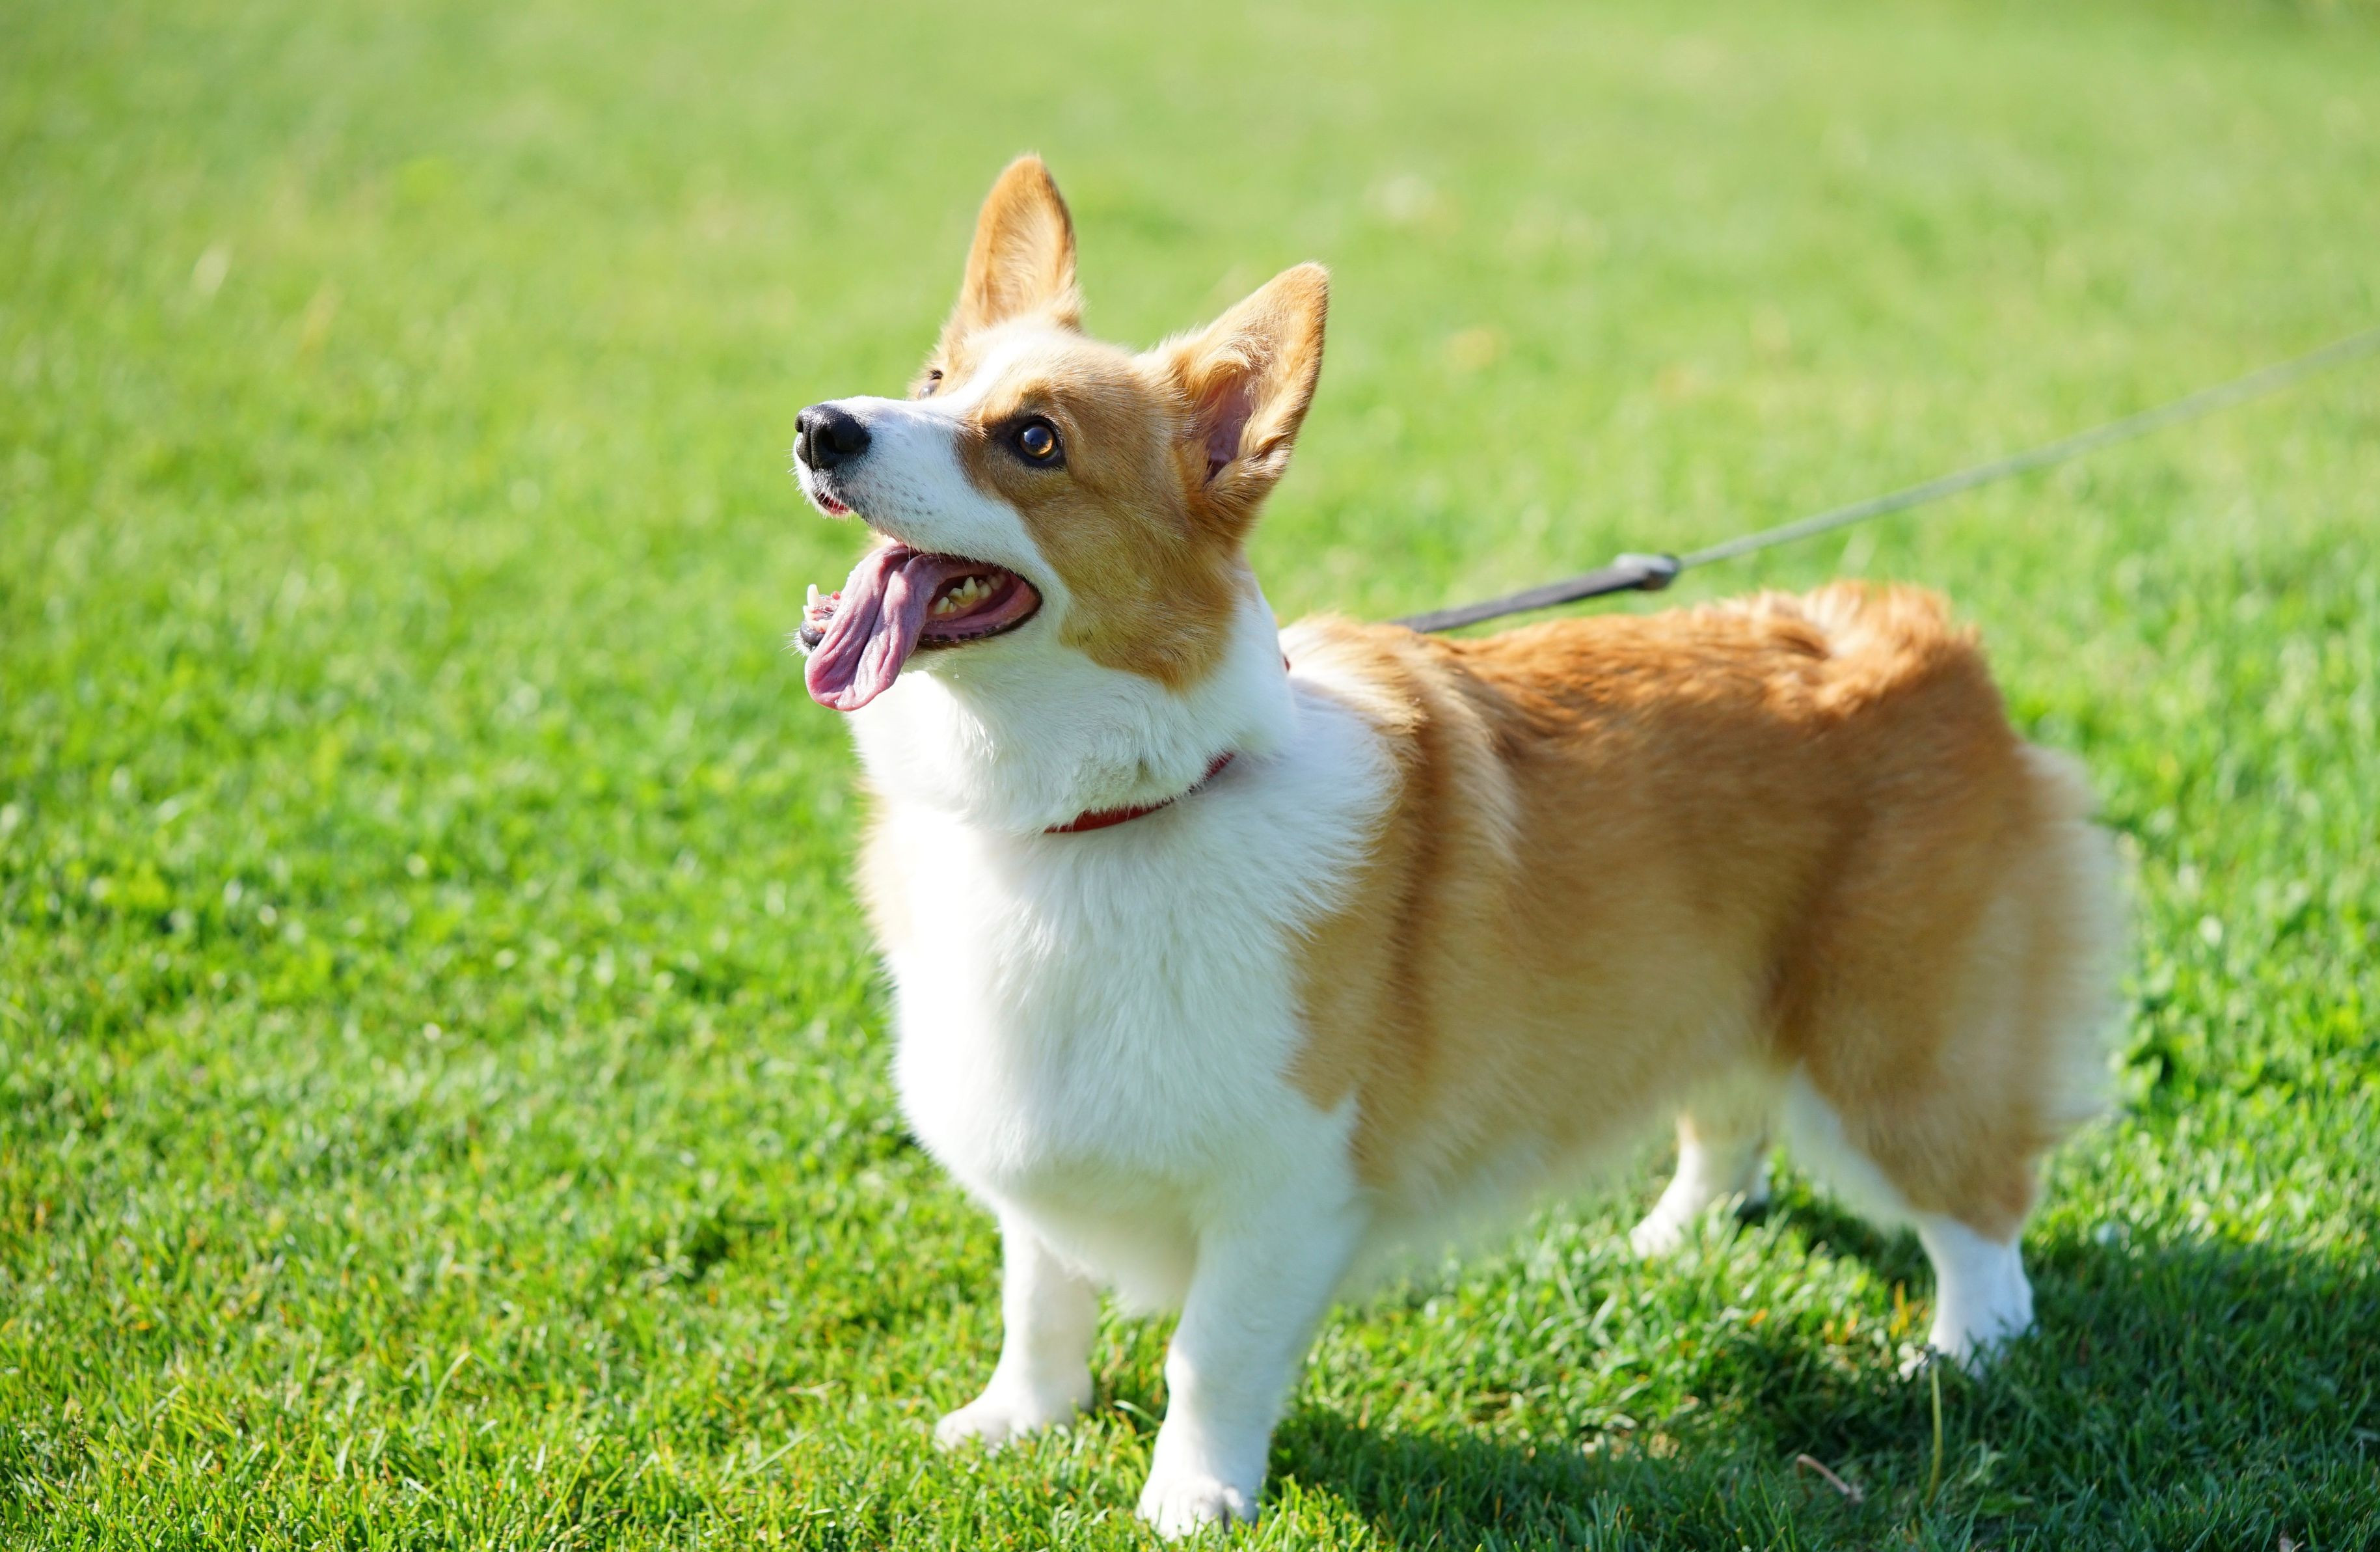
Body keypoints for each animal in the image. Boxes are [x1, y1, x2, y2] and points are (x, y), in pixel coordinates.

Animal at [790, 156, 2120, 1536]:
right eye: (931, 382)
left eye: (1033, 441)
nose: (821, 426)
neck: (1094, 817)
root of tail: (1923, 634)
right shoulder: (1038, 1146)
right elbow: (1039, 1296)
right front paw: (1018, 1424)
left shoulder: (1284, 1185)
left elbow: (1208, 1354)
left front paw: (1190, 1500)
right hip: (1710, 983)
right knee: (1724, 1117)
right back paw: (1672, 1244)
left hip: (1889, 1045)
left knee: (1979, 1207)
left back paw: (1961, 1358)